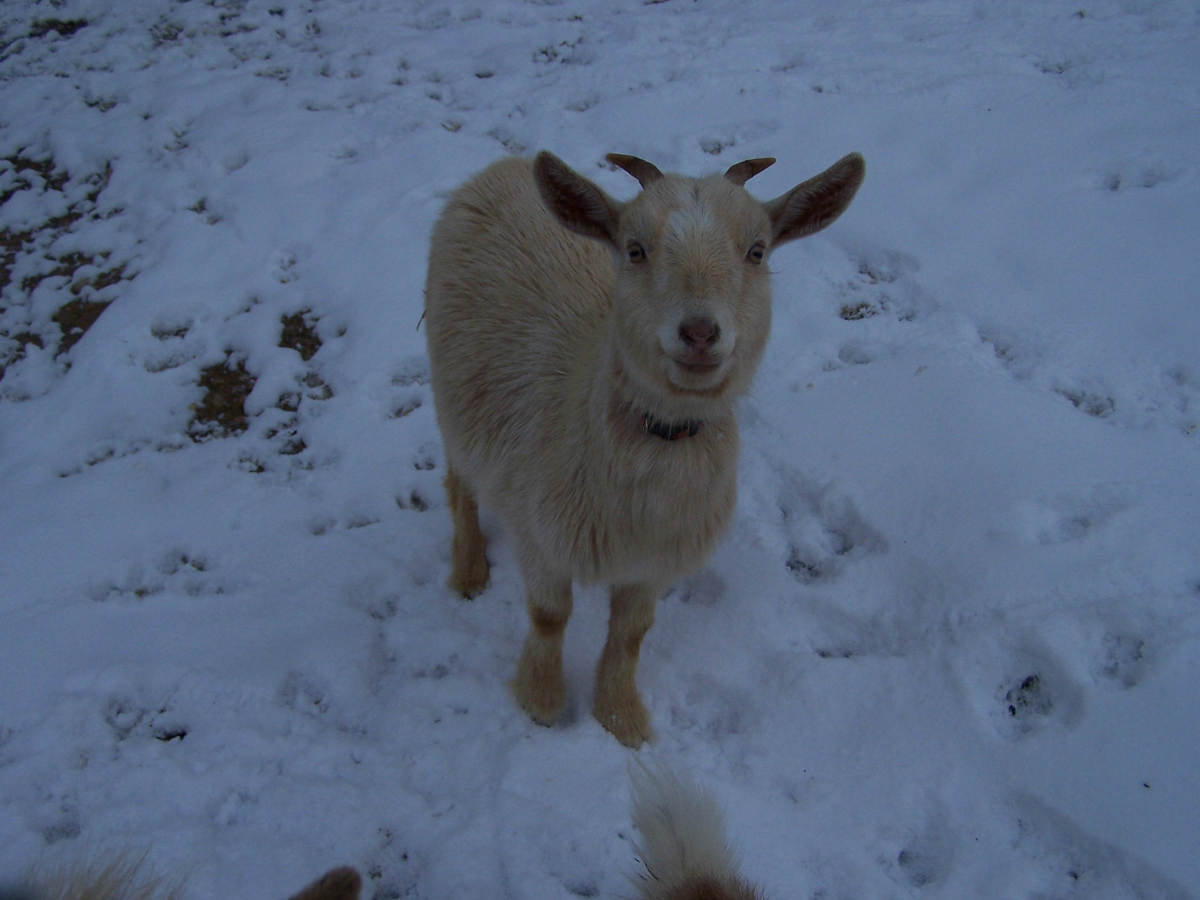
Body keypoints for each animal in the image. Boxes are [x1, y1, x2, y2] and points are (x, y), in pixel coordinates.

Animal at [422, 148, 864, 744]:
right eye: (635, 249)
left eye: (756, 251)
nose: (699, 332)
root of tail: (506, 164)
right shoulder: (540, 536)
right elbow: (549, 616)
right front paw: (542, 701)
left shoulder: (655, 561)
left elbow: (632, 634)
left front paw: (620, 718)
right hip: (452, 396)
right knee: (459, 480)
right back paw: (469, 569)